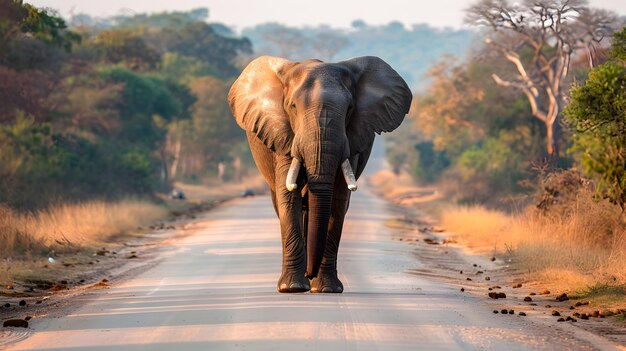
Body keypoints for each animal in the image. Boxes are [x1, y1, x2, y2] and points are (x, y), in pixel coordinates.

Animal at [227, 56, 412, 292]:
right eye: (292, 106)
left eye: (349, 108)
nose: (310, 273)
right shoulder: (284, 137)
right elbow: (289, 197)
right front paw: (293, 288)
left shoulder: (351, 141)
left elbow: (337, 201)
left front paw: (327, 289)